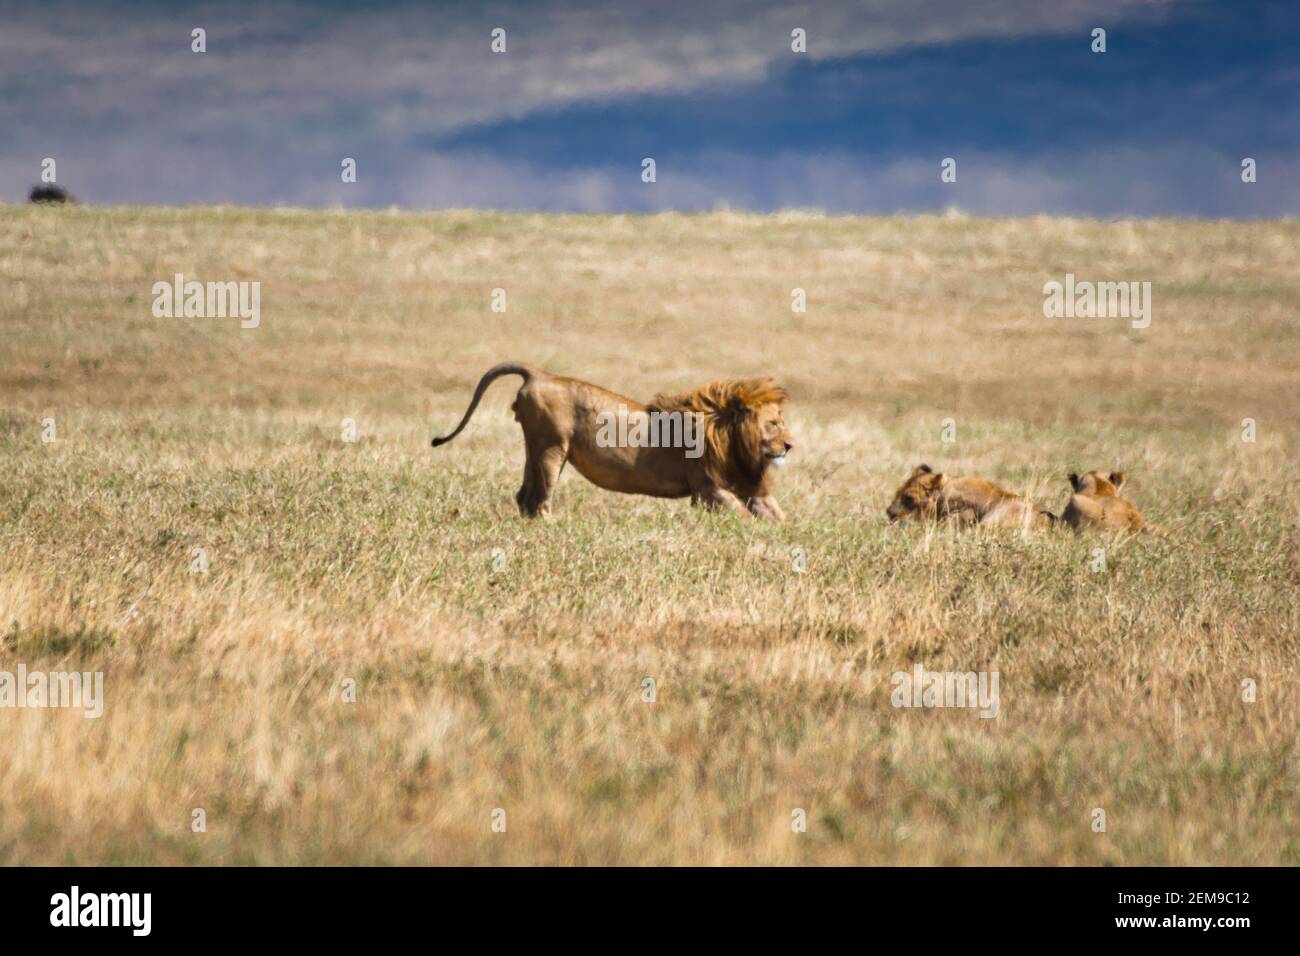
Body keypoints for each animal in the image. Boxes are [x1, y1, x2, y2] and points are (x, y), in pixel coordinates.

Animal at [431, 361, 790, 520]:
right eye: (773, 424)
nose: (790, 445)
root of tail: (539, 375)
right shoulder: (707, 488)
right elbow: (744, 519)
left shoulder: (746, 485)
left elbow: (777, 517)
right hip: (551, 448)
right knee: (540, 497)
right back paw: (550, 524)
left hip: (536, 448)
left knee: (524, 496)